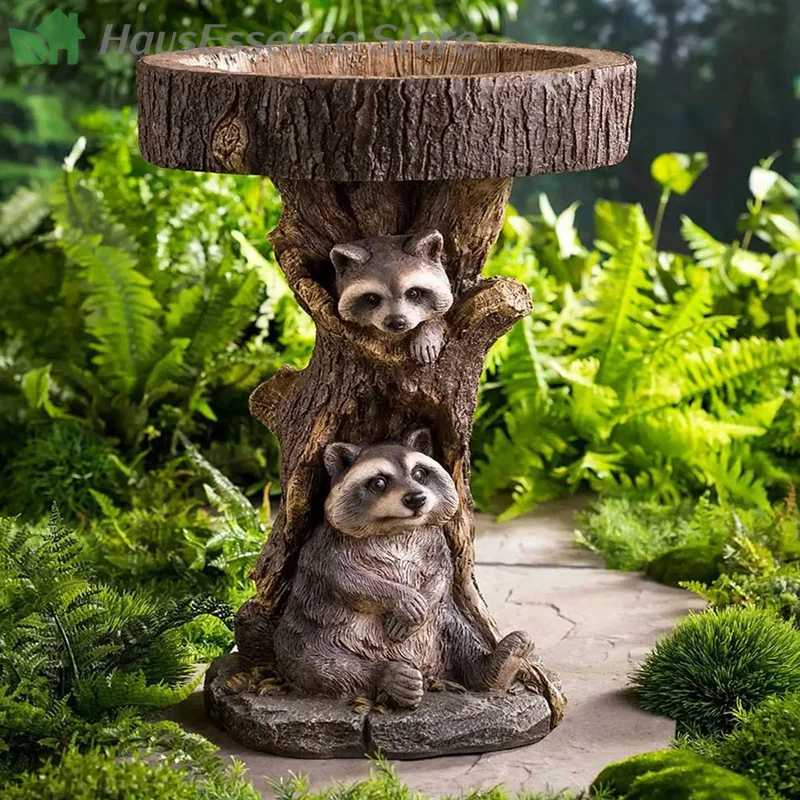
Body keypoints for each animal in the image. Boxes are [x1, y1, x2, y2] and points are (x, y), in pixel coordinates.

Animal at [273, 429, 533, 709]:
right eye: (378, 483)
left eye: (419, 473)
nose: (416, 498)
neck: (396, 529)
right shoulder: (324, 545)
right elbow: (346, 579)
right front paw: (403, 598)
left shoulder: (436, 542)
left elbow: (442, 574)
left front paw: (423, 599)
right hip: (305, 635)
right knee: (317, 665)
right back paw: (391, 678)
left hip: (443, 625)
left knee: (462, 638)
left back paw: (498, 664)